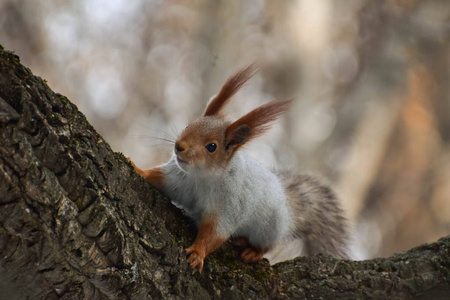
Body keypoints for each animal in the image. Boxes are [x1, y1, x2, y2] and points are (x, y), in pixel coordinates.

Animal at [128, 65, 350, 272]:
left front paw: (198, 253)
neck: (202, 177)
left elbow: (215, 233)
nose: (178, 146)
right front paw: (136, 168)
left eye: (212, 146)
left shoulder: (230, 206)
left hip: (268, 228)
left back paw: (252, 251)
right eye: (188, 125)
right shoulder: (176, 179)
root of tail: (287, 206)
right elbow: (158, 178)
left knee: (268, 244)